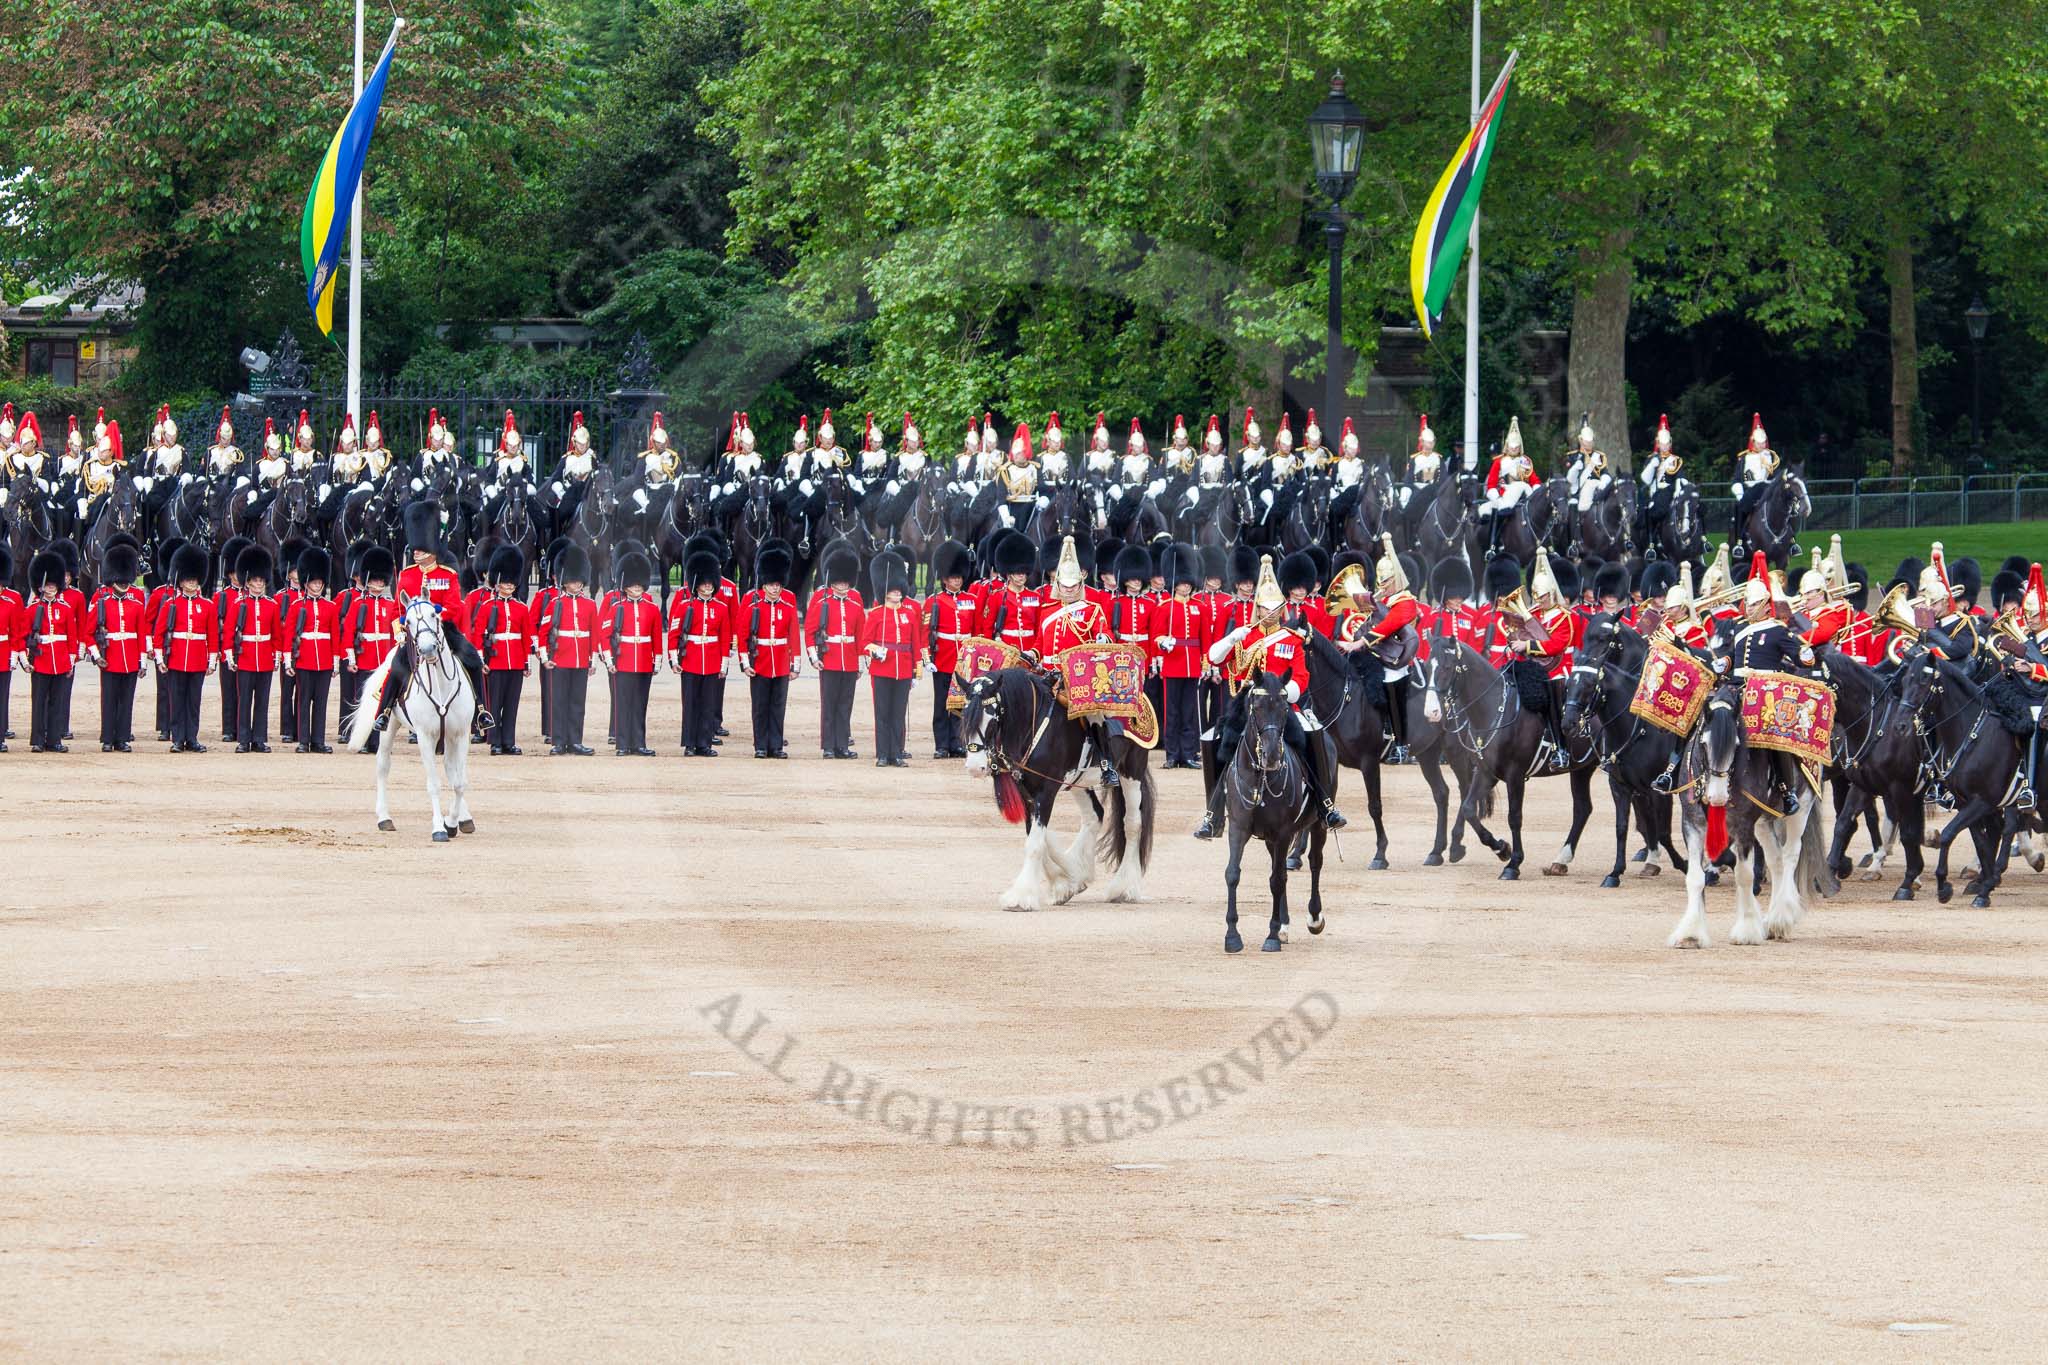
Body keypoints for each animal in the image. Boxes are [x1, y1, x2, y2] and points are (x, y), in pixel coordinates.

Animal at [352, 597, 483, 843]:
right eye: (409, 621)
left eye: (434, 614)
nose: (427, 649)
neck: (441, 683)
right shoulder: (425, 736)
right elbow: (434, 784)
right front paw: (439, 828)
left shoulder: (461, 734)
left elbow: (459, 782)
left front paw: (452, 822)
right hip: (389, 727)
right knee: (383, 765)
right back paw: (384, 817)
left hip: (449, 737)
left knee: (451, 769)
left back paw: (464, 818)